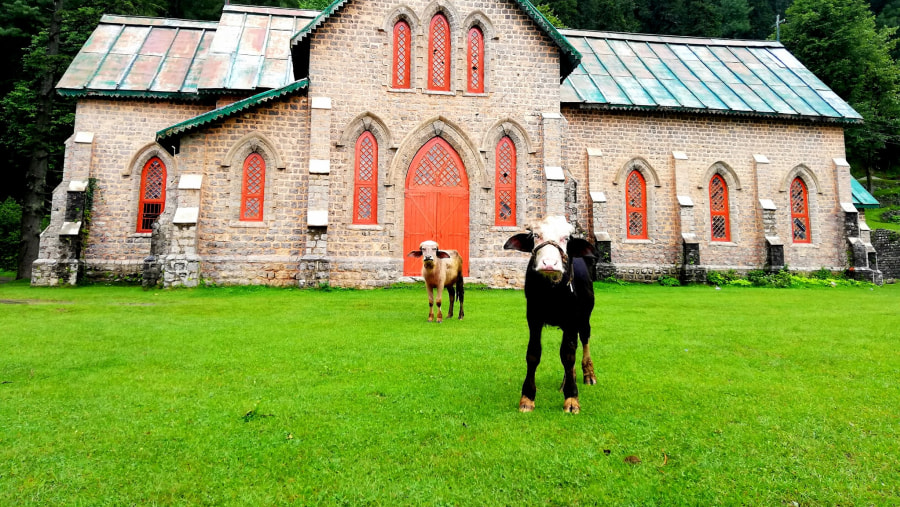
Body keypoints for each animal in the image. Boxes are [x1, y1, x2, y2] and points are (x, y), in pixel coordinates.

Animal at [506, 216, 596, 414]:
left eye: (566, 238)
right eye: (536, 235)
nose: (548, 264)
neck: (552, 293)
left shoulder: (572, 319)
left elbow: (568, 355)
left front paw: (572, 398)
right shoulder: (533, 318)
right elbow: (533, 354)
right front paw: (527, 398)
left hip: (585, 317)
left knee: (584, 340)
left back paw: (588, 375)